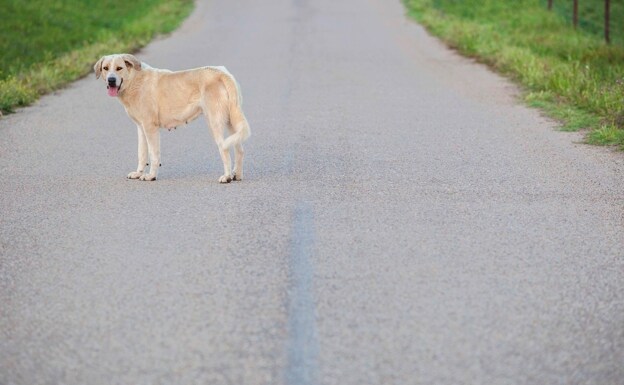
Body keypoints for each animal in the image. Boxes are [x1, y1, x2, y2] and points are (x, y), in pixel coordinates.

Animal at [92, 53, 249, 183]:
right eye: (106, 68)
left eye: (119, 68)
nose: (111, 80)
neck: (134, 81)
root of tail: (221, 73)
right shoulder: (141, 128)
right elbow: (142, 154)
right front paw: (138, 173)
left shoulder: (150, 128)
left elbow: (153, 155)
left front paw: (151, 176)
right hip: (231, 122)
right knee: (239, 150)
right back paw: (237, 175)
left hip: (214, 122)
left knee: (224, 149)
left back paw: (227, 177)